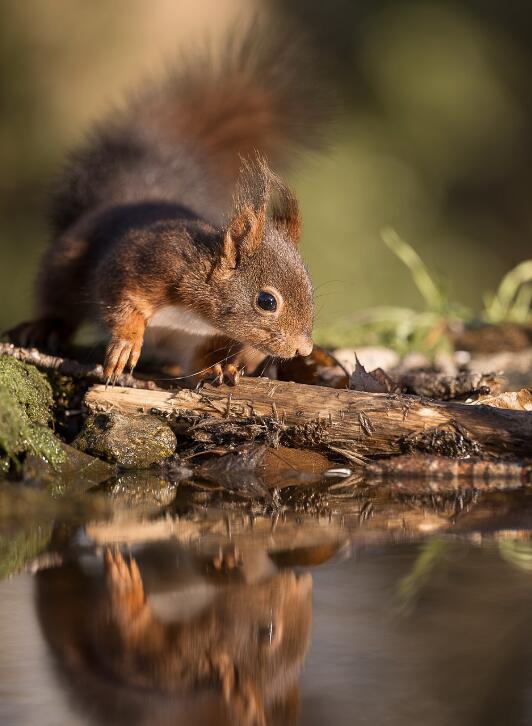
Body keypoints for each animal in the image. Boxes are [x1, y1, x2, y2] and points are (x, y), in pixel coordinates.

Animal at [7, 25, 328, 384]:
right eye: (267, 301)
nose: (303, 349)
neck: (195, 316)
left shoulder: (206, 337)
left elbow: (201, 358)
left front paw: (219, 367)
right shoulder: (144, 263)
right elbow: (120, 301)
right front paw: (125, 344)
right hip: (63, 265)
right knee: (58, 301)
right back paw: (46, 326)